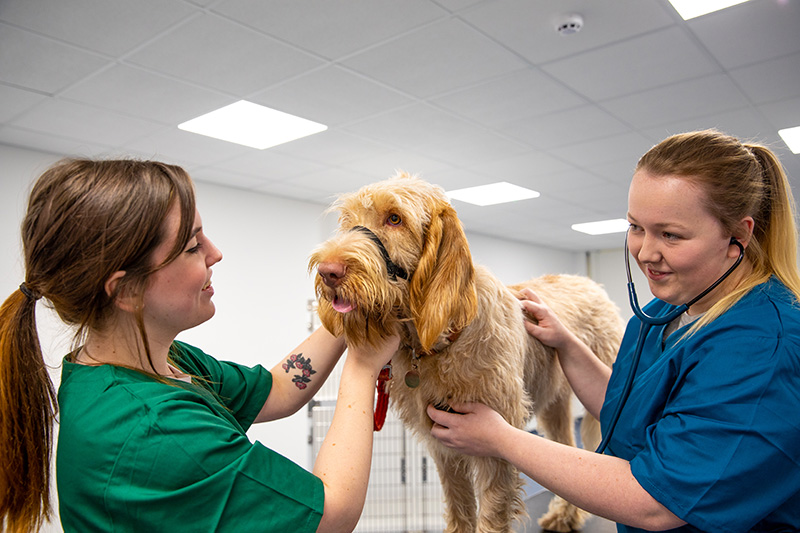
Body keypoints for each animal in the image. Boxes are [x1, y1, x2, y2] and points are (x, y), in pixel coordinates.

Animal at [308, 172, 624, 528]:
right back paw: (565, 514)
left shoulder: (495, 445)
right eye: (348, 221)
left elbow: (490, 514)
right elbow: (459, 506)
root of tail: (590, 283)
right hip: (554, 403)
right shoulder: (442, 446)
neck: (441, 343)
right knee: (567, 445)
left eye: (395, 219)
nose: (328, 272)